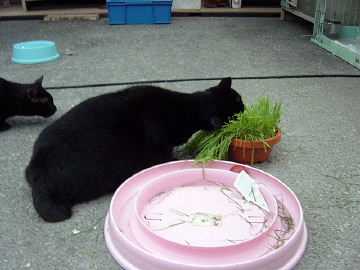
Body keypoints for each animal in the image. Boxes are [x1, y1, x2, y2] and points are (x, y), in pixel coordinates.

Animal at [25, 77, 245, 221]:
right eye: (239, 110)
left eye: (240, 102)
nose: (246, 111)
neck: (187, 109)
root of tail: (37, 170)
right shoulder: (159, 150)